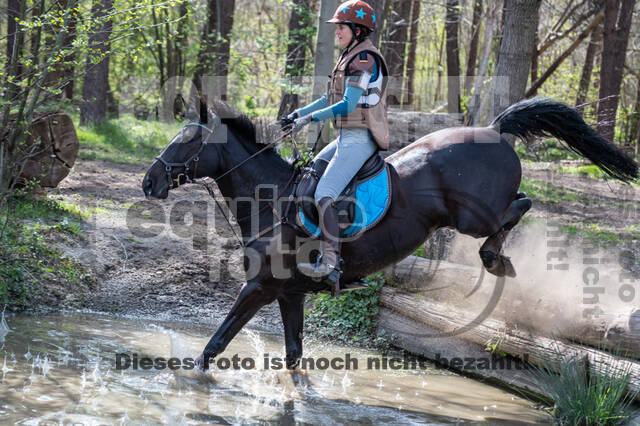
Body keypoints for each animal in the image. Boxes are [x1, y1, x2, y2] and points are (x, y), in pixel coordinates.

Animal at [142, 96, 636, 370]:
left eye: (186, 141)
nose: (149, 182)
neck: (272, 199)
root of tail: (494, 129)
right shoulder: (290, 294)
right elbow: (294, 355)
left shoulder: (260, 287)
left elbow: (215, 344)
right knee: (520, 204)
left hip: (472, 218)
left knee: (519, 207)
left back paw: (496, 259)